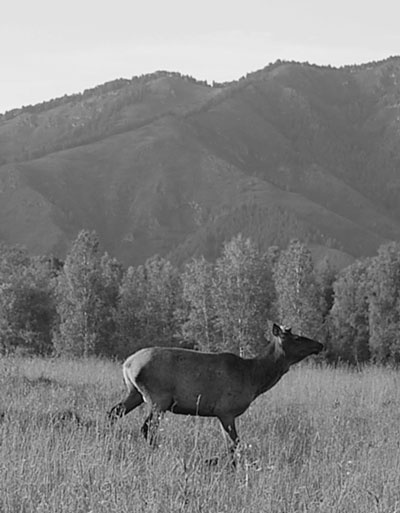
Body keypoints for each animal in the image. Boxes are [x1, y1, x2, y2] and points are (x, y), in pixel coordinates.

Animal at [108, 324, 322, 456]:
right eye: (296, 338)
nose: (319, 344)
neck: (255, 379)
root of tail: (127, 364)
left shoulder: (221, 414)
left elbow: (231, 445)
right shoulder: (226, 411)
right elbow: (234, 445)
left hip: (135, 393)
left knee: (113, 412)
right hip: (157, 399)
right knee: (146, 428)